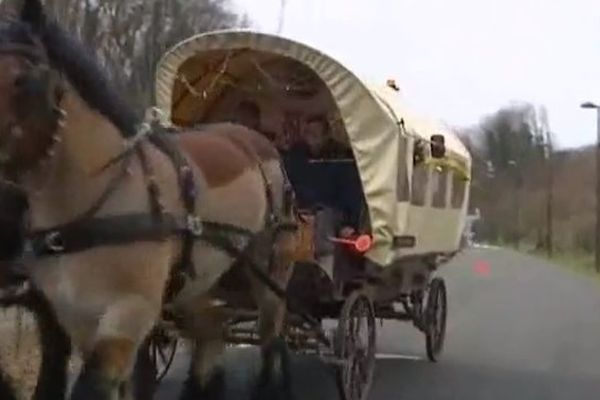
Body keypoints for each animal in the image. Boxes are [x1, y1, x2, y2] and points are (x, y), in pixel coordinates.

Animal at [0, 1, 298, 398]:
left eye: (23, 81)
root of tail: (255, 139)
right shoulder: (72, 316)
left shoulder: (129, 313)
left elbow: (94, 385)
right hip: (201, 278)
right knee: (212, 330)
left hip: (267, 266)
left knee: (271, 334)